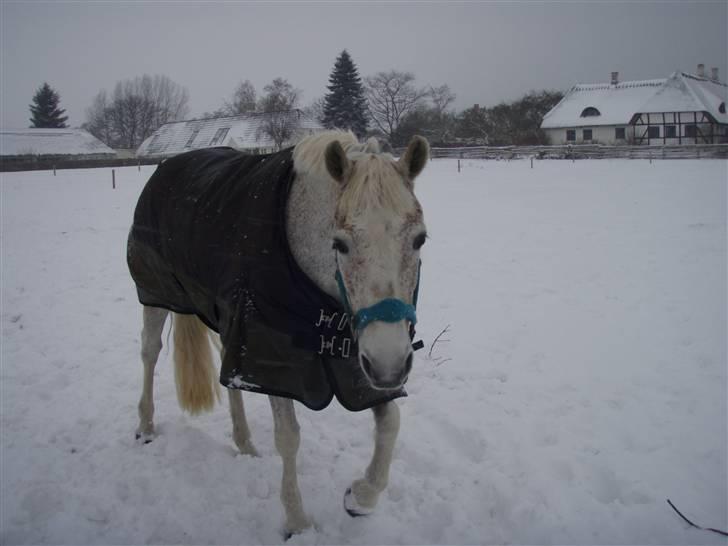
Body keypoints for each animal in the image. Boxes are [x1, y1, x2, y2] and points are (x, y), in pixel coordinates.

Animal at [128, 130, 430, 532]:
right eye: (340, 244)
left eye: (419, 239)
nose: (390, 365)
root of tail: (167, 167)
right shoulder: (275, 357)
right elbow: (288, 437)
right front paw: (297, 522)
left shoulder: (353, 354)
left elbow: (390, 422)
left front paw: (360, 497)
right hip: (156, 294)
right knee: (149, 352)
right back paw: (146, 426)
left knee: (230, 378)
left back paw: (244, 442)